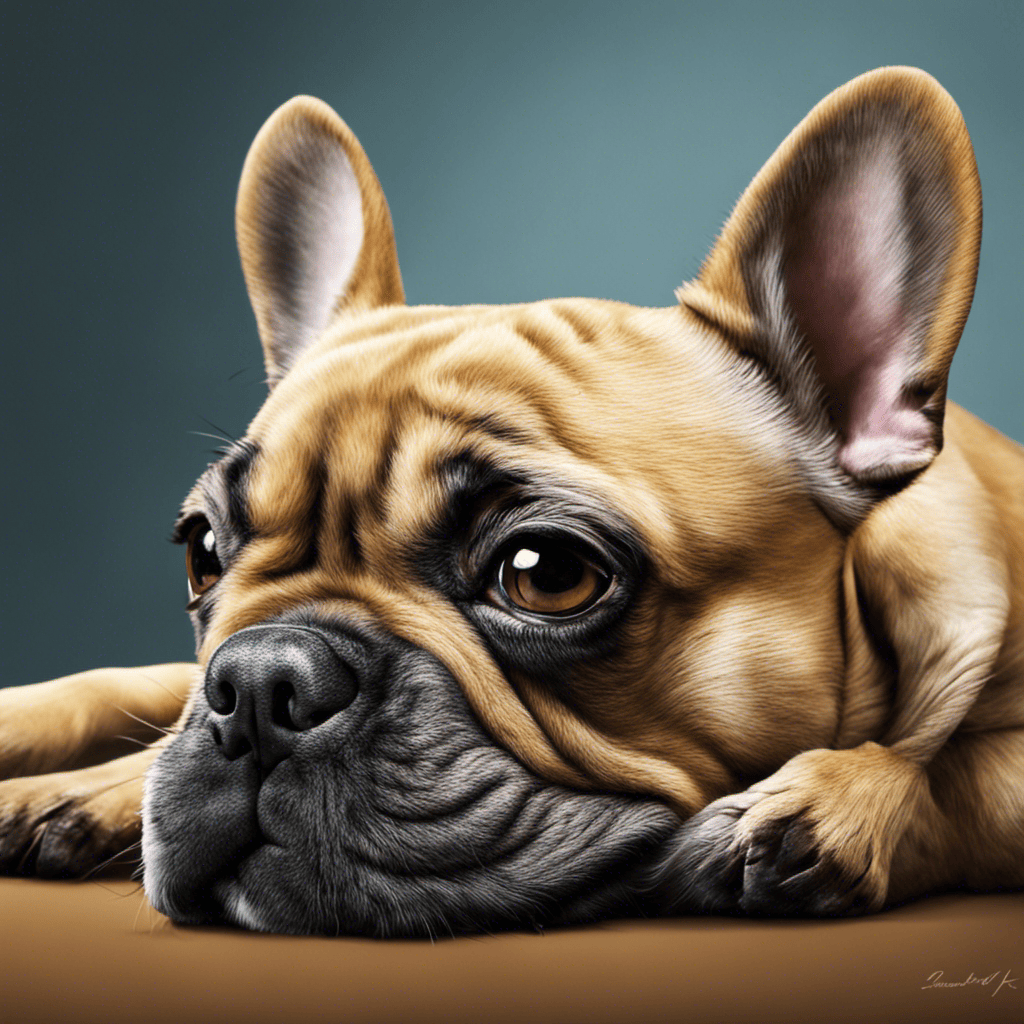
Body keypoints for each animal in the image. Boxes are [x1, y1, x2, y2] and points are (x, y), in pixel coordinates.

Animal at [0, 66, 1019, 937]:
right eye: (202, 550)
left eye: (546, 573)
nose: (257, 681)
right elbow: (133, 690)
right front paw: (81, 780)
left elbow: (949, 775)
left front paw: (830, 805)